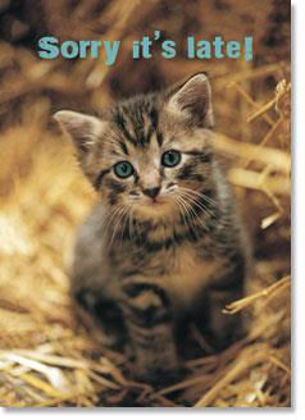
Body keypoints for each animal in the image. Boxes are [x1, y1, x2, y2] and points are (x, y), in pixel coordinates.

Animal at [54, 73, 249, 384]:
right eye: (123, 169)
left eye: (171, 158)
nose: (151, 189)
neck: (171, 232)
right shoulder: (137, 285)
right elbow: (150, 332)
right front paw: (161, 376)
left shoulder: (228, 259)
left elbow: (226, 301)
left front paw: (226, 341)